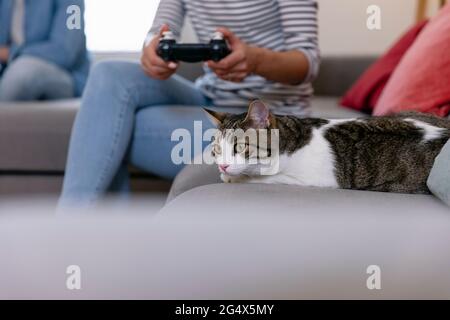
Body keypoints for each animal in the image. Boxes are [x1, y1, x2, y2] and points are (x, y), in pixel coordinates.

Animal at [204, 100, 450, 195]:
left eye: (240, 147)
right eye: (217, 150)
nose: (223, 166)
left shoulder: (306, 179)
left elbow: (259, 178)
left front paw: (232, 178)